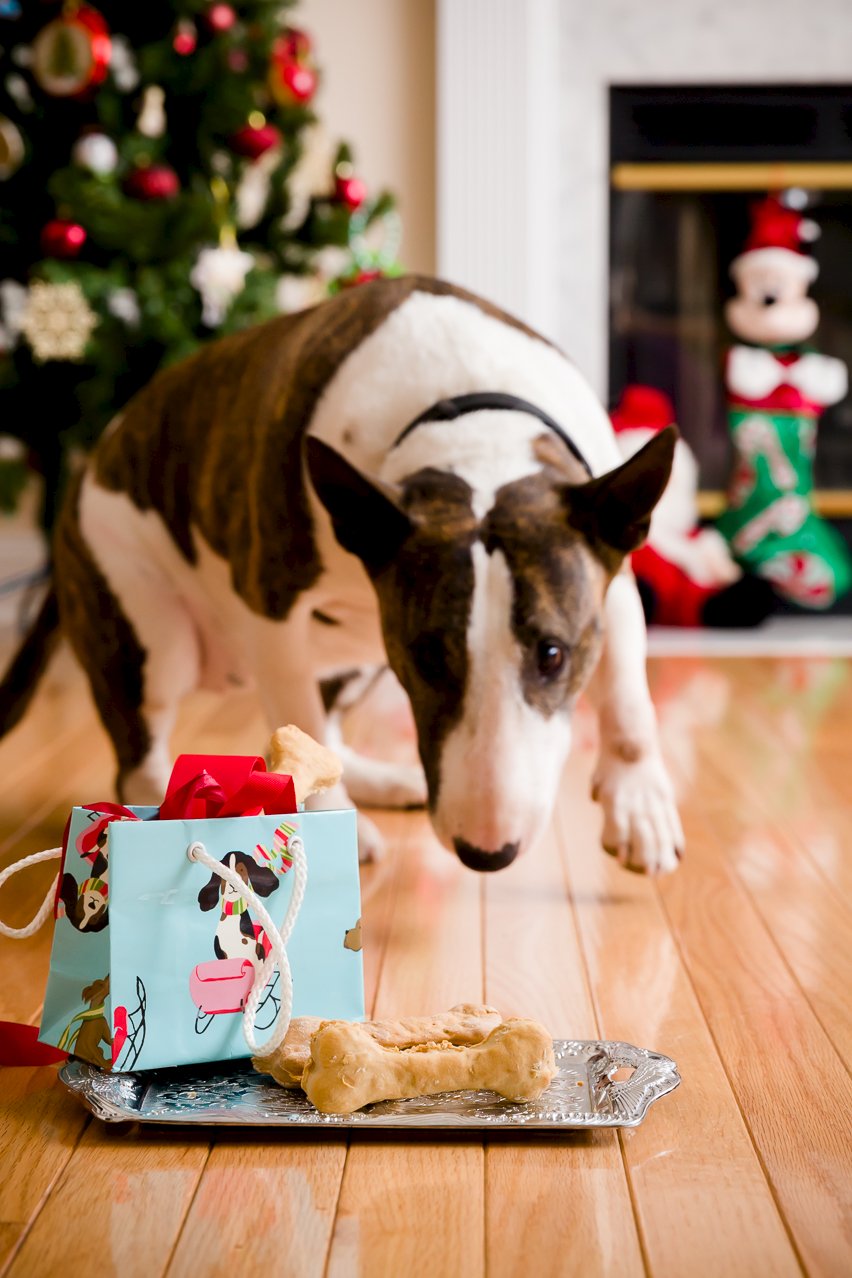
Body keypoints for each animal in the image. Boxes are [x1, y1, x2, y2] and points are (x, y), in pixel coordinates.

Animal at [0, 278, 684, 874]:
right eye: (426, 656)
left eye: (552, 654)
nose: (487, 854)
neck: (472, 422)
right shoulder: (271, 605)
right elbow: (294, 706)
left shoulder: (612, 575)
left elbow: (628, 694)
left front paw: (639, 804)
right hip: (151, 634)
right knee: (144, 757)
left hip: (353, 661)